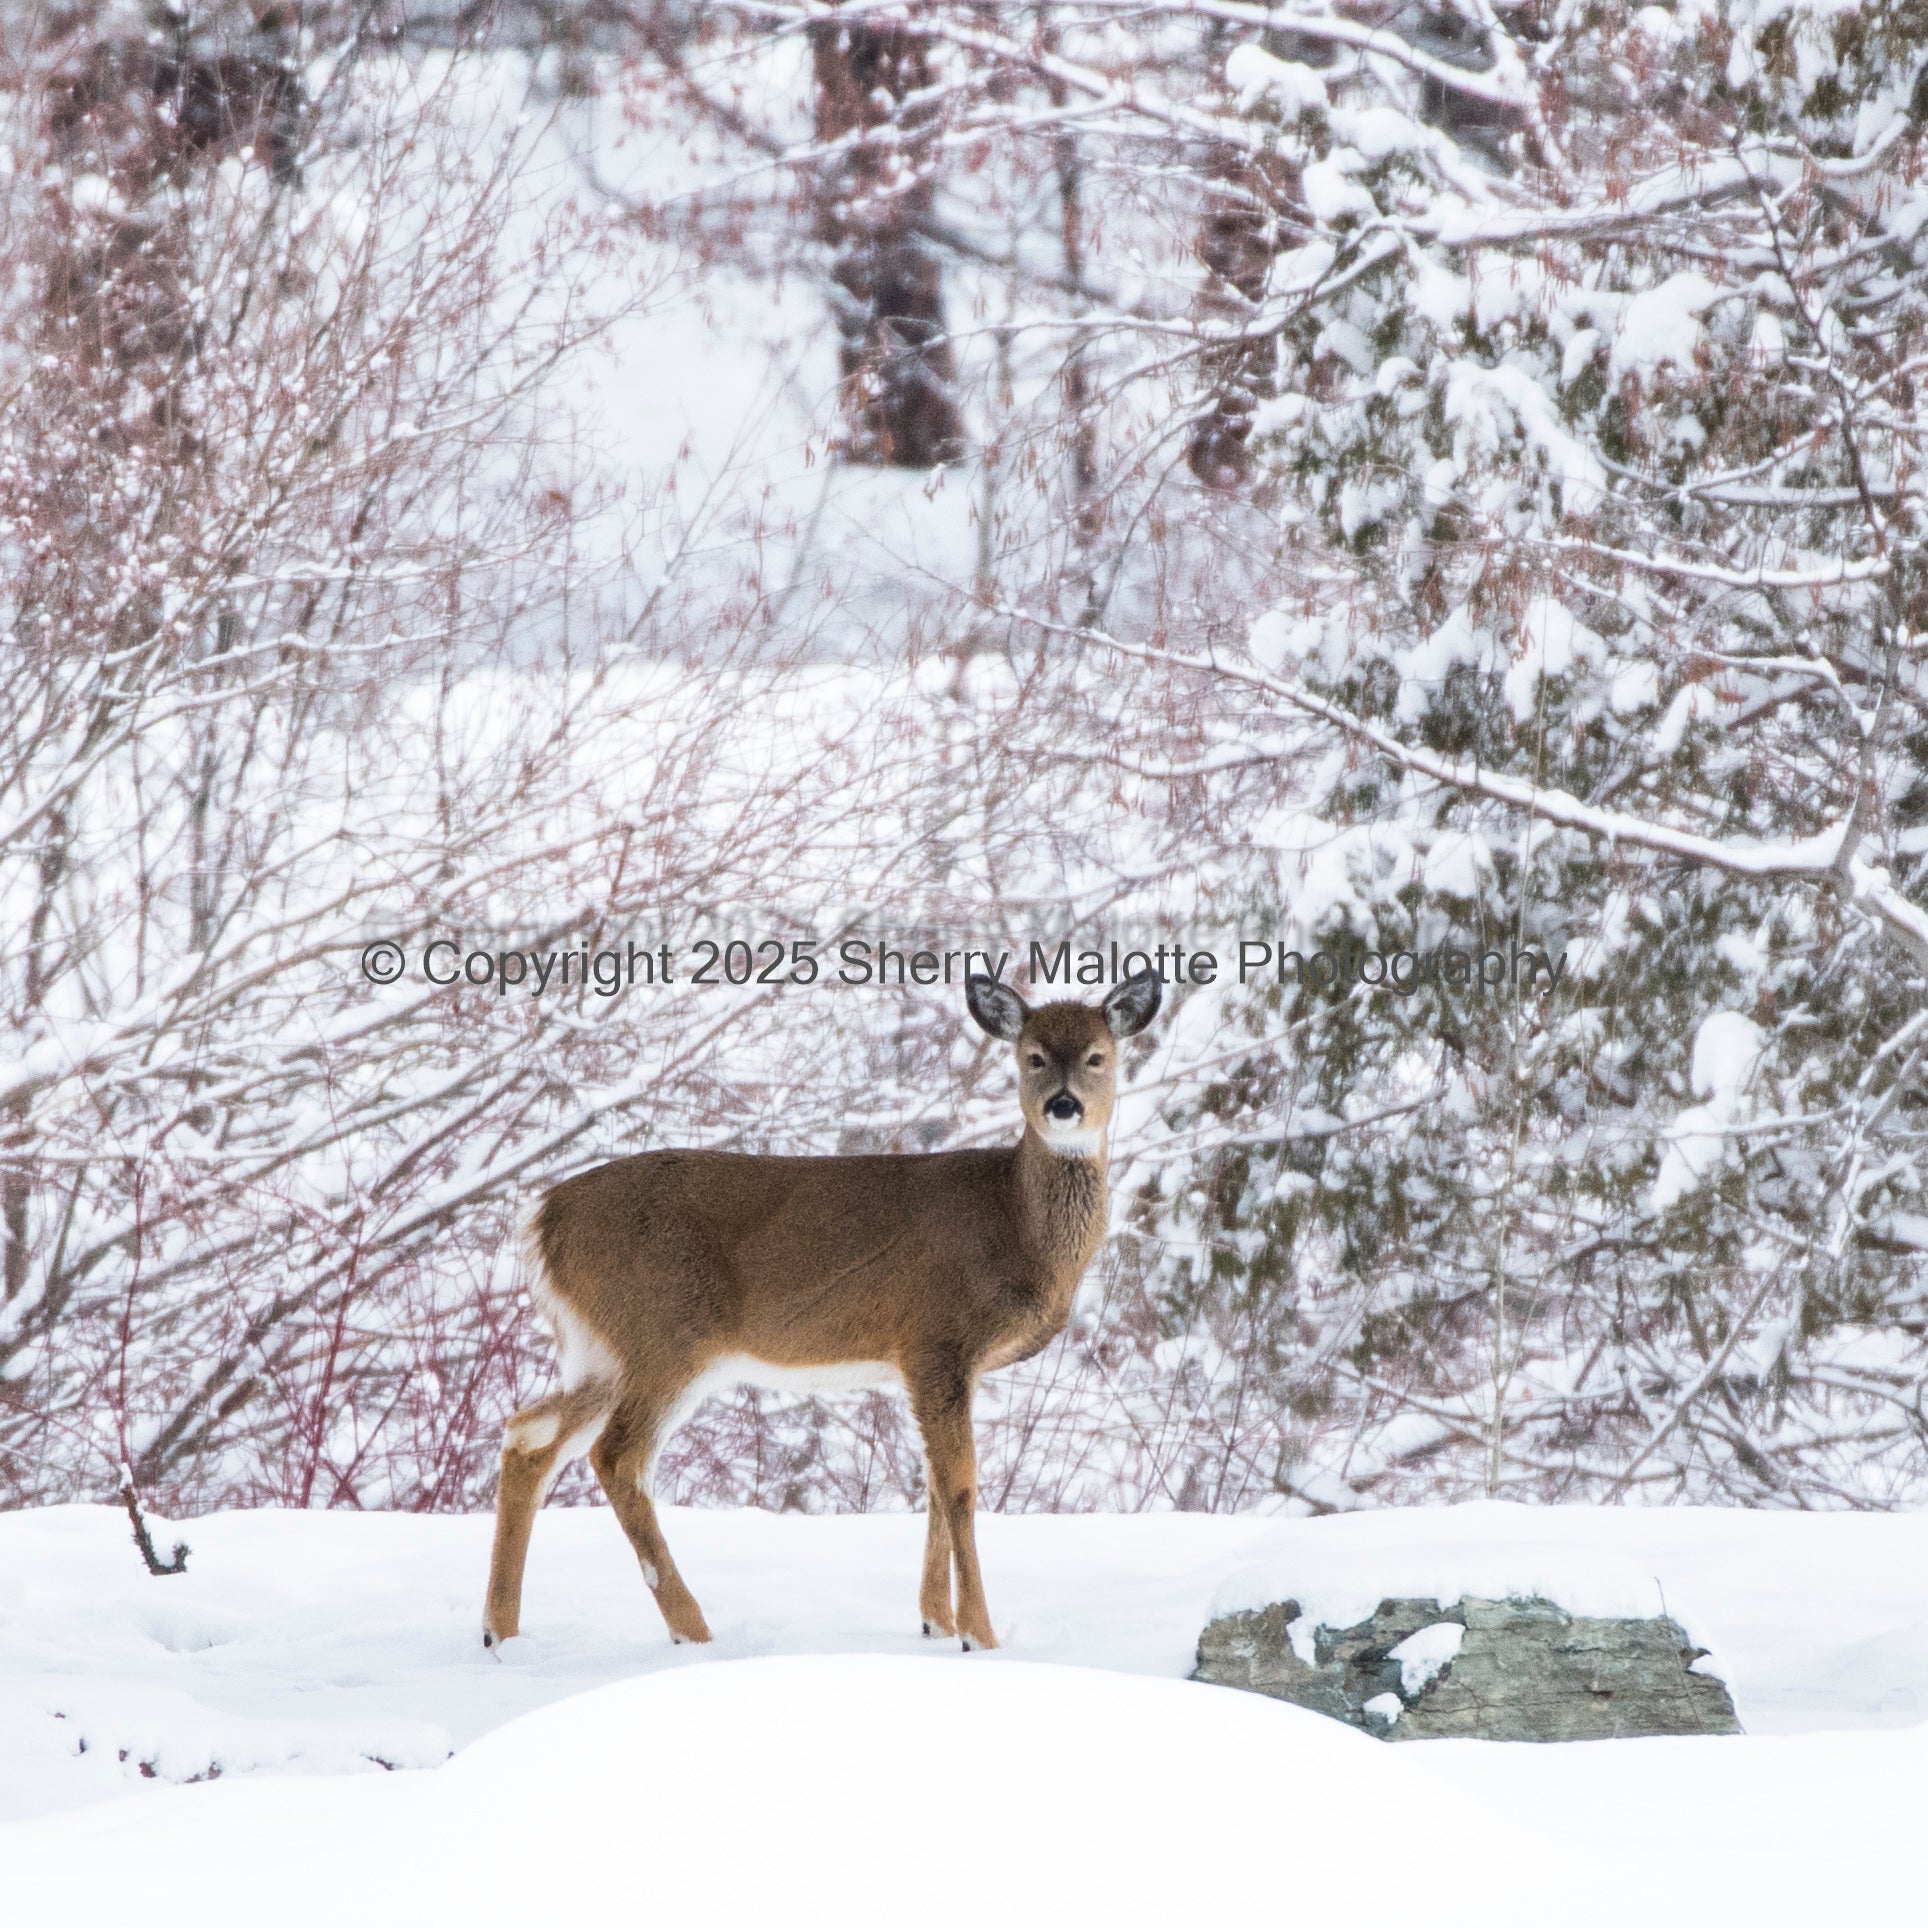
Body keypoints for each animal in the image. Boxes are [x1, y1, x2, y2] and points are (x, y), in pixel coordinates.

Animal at [482, 965, 1162, 1654]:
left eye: (1099, 1056)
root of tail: (541, 1218)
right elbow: (961, 1485)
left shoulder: (940, 1363)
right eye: (1032, 1057)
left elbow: (934, 1486)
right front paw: (979, 1635)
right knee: (617, 1455)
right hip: (665, 1333)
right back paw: (693, 1630)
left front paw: (935, 1624)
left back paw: (501, 1632)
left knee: (528, 1436)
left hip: (600, 1348)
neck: (1016, 1224)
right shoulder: (935, 1337)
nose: (1063, 1106)